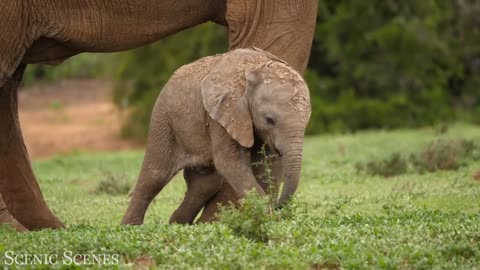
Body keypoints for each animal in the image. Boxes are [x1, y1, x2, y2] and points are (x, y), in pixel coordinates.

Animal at [121, 47, 312, 225]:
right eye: (269, 120)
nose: (279, 206)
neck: (254, 70)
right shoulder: (222, 113)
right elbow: (230, 162)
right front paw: (267, 216)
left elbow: (263, 162)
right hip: (164, 119)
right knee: (155, 175)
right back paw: (130, 227)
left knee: (205, 183)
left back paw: (177, 223)